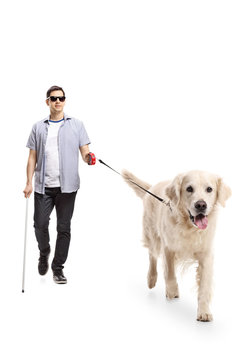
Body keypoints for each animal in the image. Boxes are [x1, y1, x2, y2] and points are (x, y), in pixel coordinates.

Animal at [123, 170, 232, 322]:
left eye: (209, 189)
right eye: (189, 188)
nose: (201, 205)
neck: (189, 228)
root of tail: (151, 187)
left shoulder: (206, 255)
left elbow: (204, 286)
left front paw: (204, 312)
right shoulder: (168, 247)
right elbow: (169, 273)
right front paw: (172, 291)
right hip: (152, 235)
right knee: (152, 256)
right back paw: (151, 278)